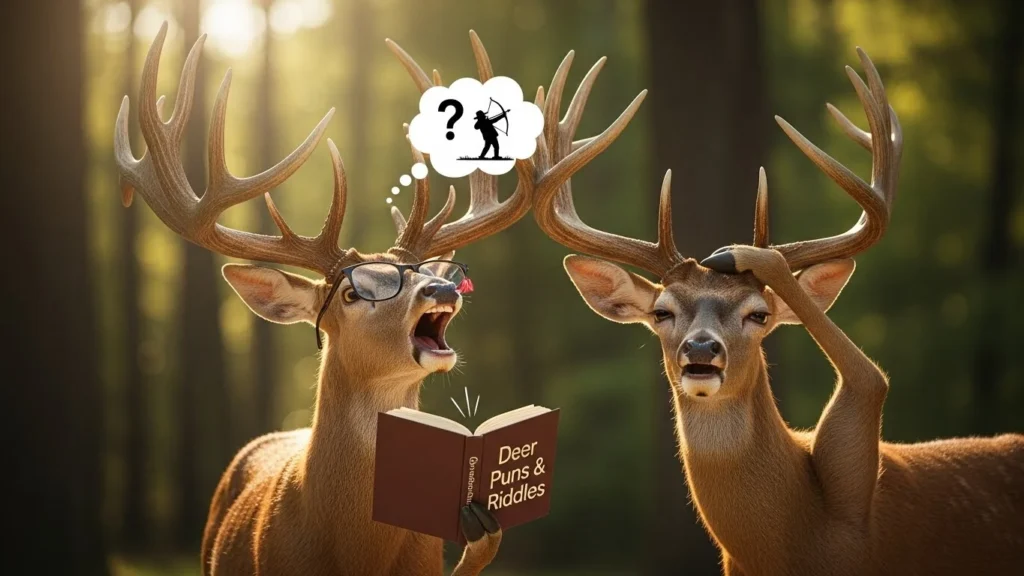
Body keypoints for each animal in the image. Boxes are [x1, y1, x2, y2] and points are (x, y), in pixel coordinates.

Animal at [534, 47, 1024, 575]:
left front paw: (747, 257)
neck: (790, 540)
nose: (701, 350)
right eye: (662, 312)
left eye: (759, 315)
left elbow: (870, 378)